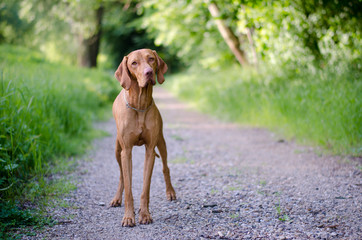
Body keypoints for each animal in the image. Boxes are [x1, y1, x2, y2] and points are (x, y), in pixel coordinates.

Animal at [111, 49, 177, 227]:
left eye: (151, 59)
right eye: (134, 63)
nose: (148, 73)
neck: (139, 105)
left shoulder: (150, 151)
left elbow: (145, 188)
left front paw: (145, 214)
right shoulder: (126, 151)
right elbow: (128, 187)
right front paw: (128, 217)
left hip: (161, 142)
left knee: (166, 168)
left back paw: (170, 192)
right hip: (117, 150)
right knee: (121, 176)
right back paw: (117, 198)